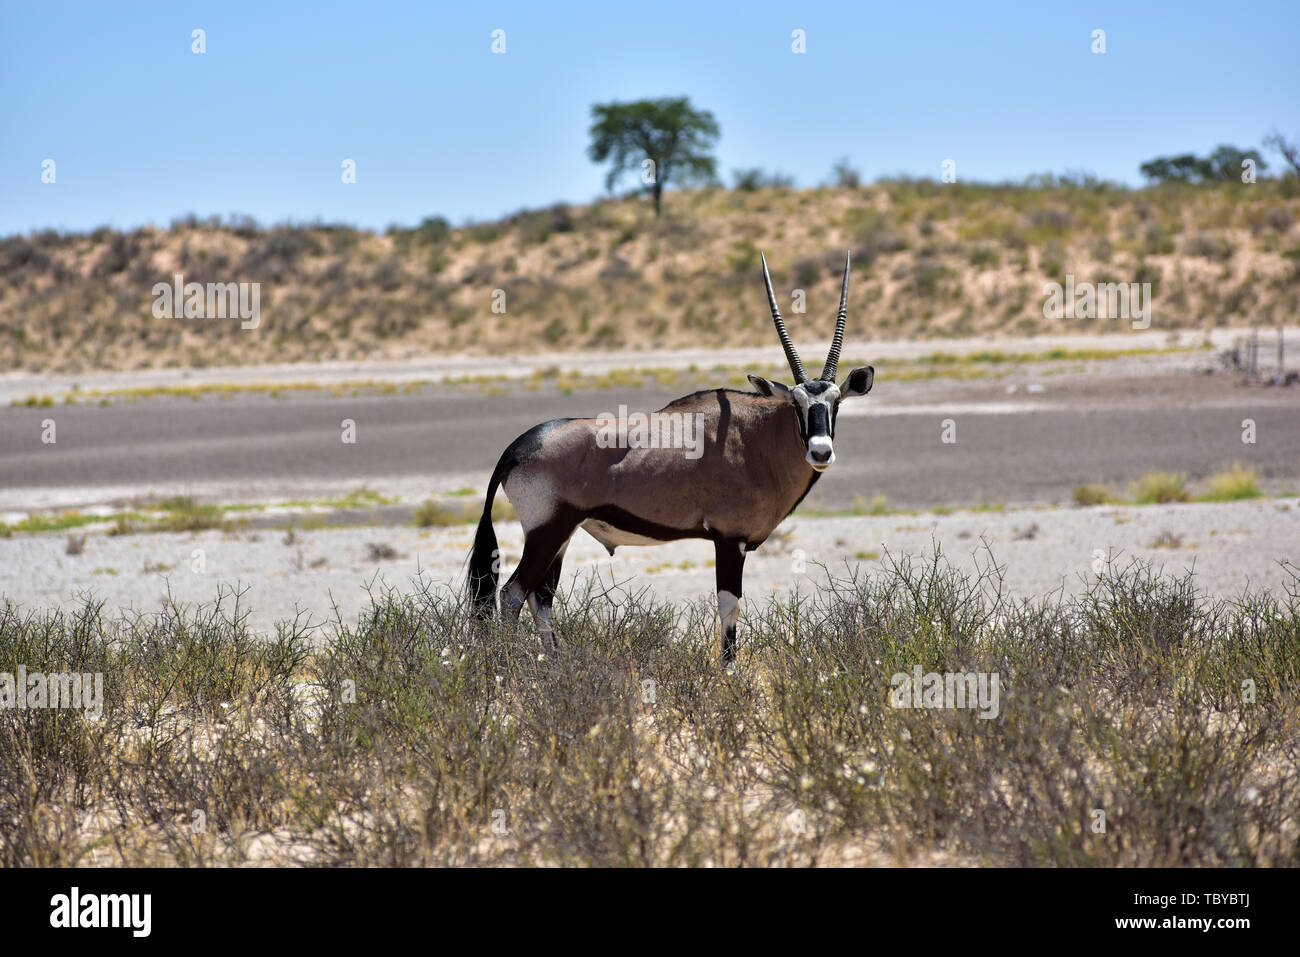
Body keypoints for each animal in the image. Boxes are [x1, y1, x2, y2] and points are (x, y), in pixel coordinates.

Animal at [467, 250, 873, 660]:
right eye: (796, 404)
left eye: (836, 402)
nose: (820, 450)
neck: (756, 438)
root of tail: (518, 447)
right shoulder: (729, 539)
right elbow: (729, 607)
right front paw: (728, 672)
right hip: (547, 530)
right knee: (513, 593)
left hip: (561, 534)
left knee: (541, 597)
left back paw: (555, 665)